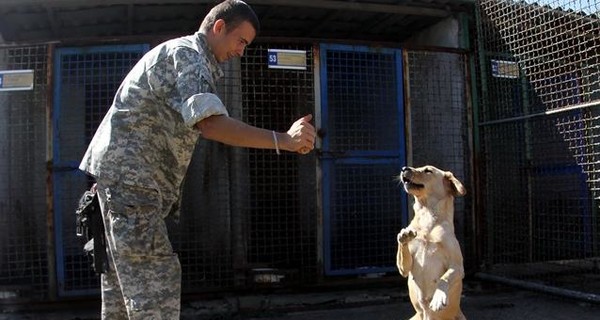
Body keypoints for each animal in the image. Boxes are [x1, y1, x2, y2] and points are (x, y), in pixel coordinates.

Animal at [396, 166, 466, 318]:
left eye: (428, 170)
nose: (404, 168)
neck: (427, 215)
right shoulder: (404, 268)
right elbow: (403, 253)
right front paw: (404, 236)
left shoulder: (457, 267)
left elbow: (444, 278)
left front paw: (438, 298)